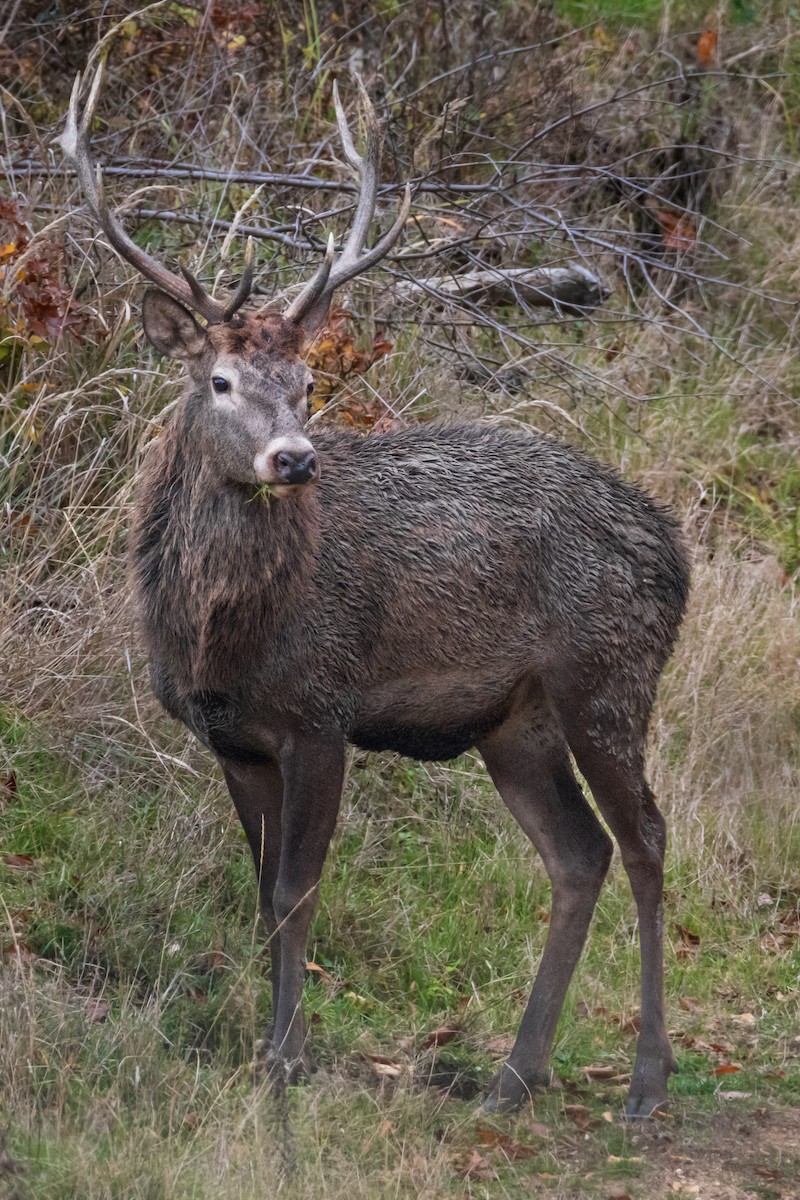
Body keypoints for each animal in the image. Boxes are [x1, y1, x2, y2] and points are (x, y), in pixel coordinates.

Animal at [59, 65, 690, 1119]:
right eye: (220, 378)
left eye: (308, 384)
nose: (294, 457)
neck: (225, 639)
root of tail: (675, 549)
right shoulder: (231, 738)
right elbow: (258, 891)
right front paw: (265, 1046)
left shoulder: (322, 712)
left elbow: (295, 891)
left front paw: (287, 1058)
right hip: (515, 721)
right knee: (579, 853)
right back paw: (512, 1075)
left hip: (609, 677)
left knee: (643, 837)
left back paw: (644, 1082)